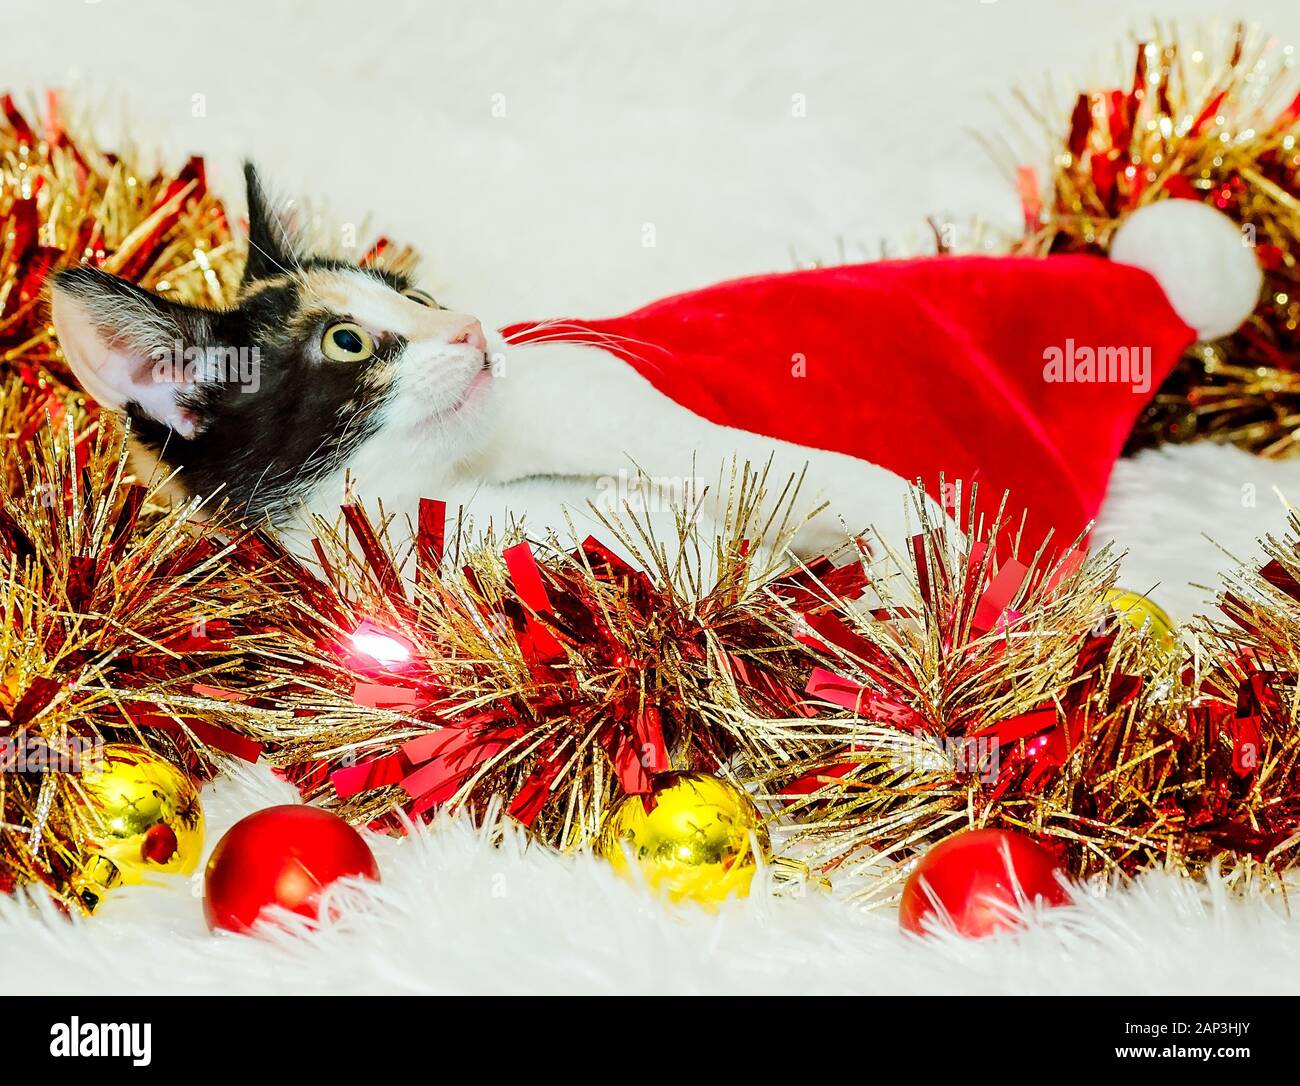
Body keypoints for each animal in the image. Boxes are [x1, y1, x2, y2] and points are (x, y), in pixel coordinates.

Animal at [48, 166, 925, 572]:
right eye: (346, 342)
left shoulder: (594, 395)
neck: (457, 482)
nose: (469, 328)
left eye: (416, 293)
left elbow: (793, 473)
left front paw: (920, 557)